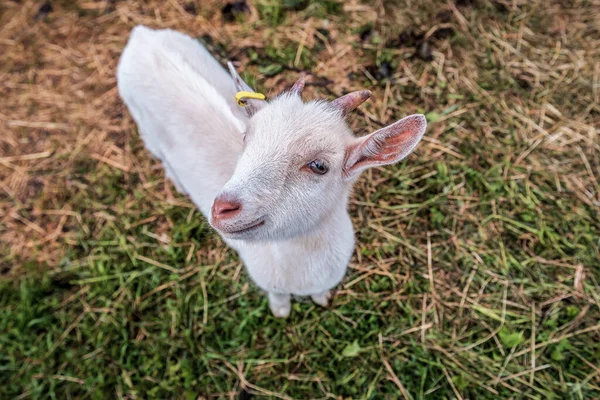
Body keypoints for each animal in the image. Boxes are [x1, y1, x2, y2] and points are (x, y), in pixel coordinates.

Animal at [117, 26, 426, 318]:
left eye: (319, 166)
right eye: (246, 138)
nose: (222, 208)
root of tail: (141, 34)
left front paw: (322, 299)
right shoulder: (268, 281)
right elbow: (278, 299)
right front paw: (281, 312)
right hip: (142, 124)